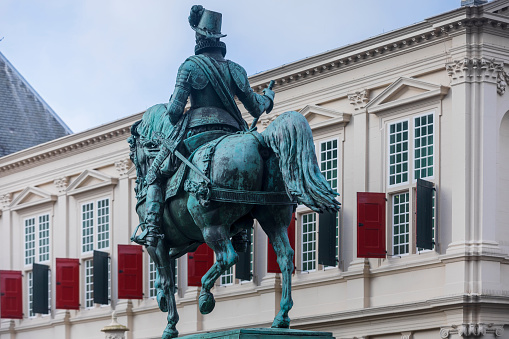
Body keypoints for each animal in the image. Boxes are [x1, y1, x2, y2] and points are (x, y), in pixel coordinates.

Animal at [129, 104, 340, 339]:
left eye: (134, 149)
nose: (139, 182)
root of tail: (259, 139)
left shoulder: (155, 243)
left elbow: (167, 280)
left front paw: (170, 325)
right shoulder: (177, 244)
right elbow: (163, 277)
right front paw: (162, 300)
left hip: (212, 226)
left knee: (227, 257)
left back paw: (205, 296)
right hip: (273, 218)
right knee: (285, 257)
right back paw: (281, 317)